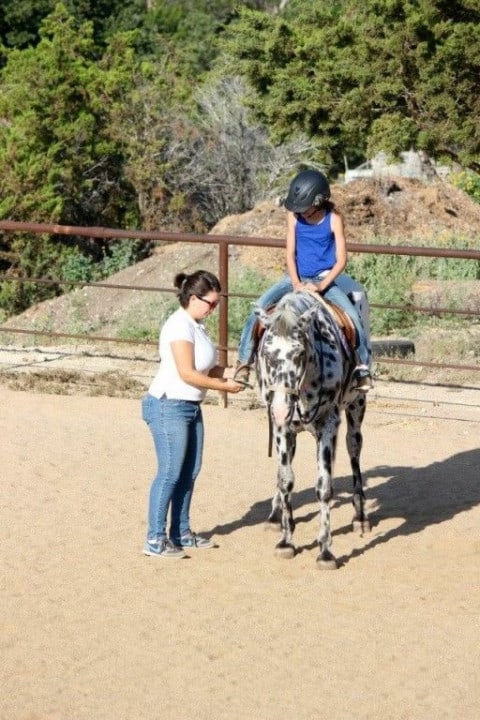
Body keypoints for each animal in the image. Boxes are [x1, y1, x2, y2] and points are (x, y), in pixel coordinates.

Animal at [255, 290, 372, 572]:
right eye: (267, 354)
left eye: (299, 353)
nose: (280, 408)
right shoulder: (282, 427)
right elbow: (285, 479)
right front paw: (286, 540)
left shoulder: (328, 424)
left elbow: (325, 487)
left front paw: (326, 551)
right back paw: (275, 516)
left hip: (357, 405)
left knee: (354, 448)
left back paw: (360, 516)